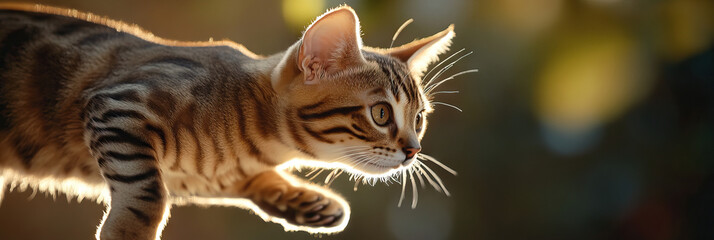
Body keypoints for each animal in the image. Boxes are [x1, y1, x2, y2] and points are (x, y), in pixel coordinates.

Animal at [0, 2, 456, 240]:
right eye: (381, 113)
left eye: (419, 118)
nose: (414, 150)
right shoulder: (120, 104)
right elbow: (148, 194)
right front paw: (128, 232)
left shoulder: (195, 175)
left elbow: (236, 182)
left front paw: (307, 202)